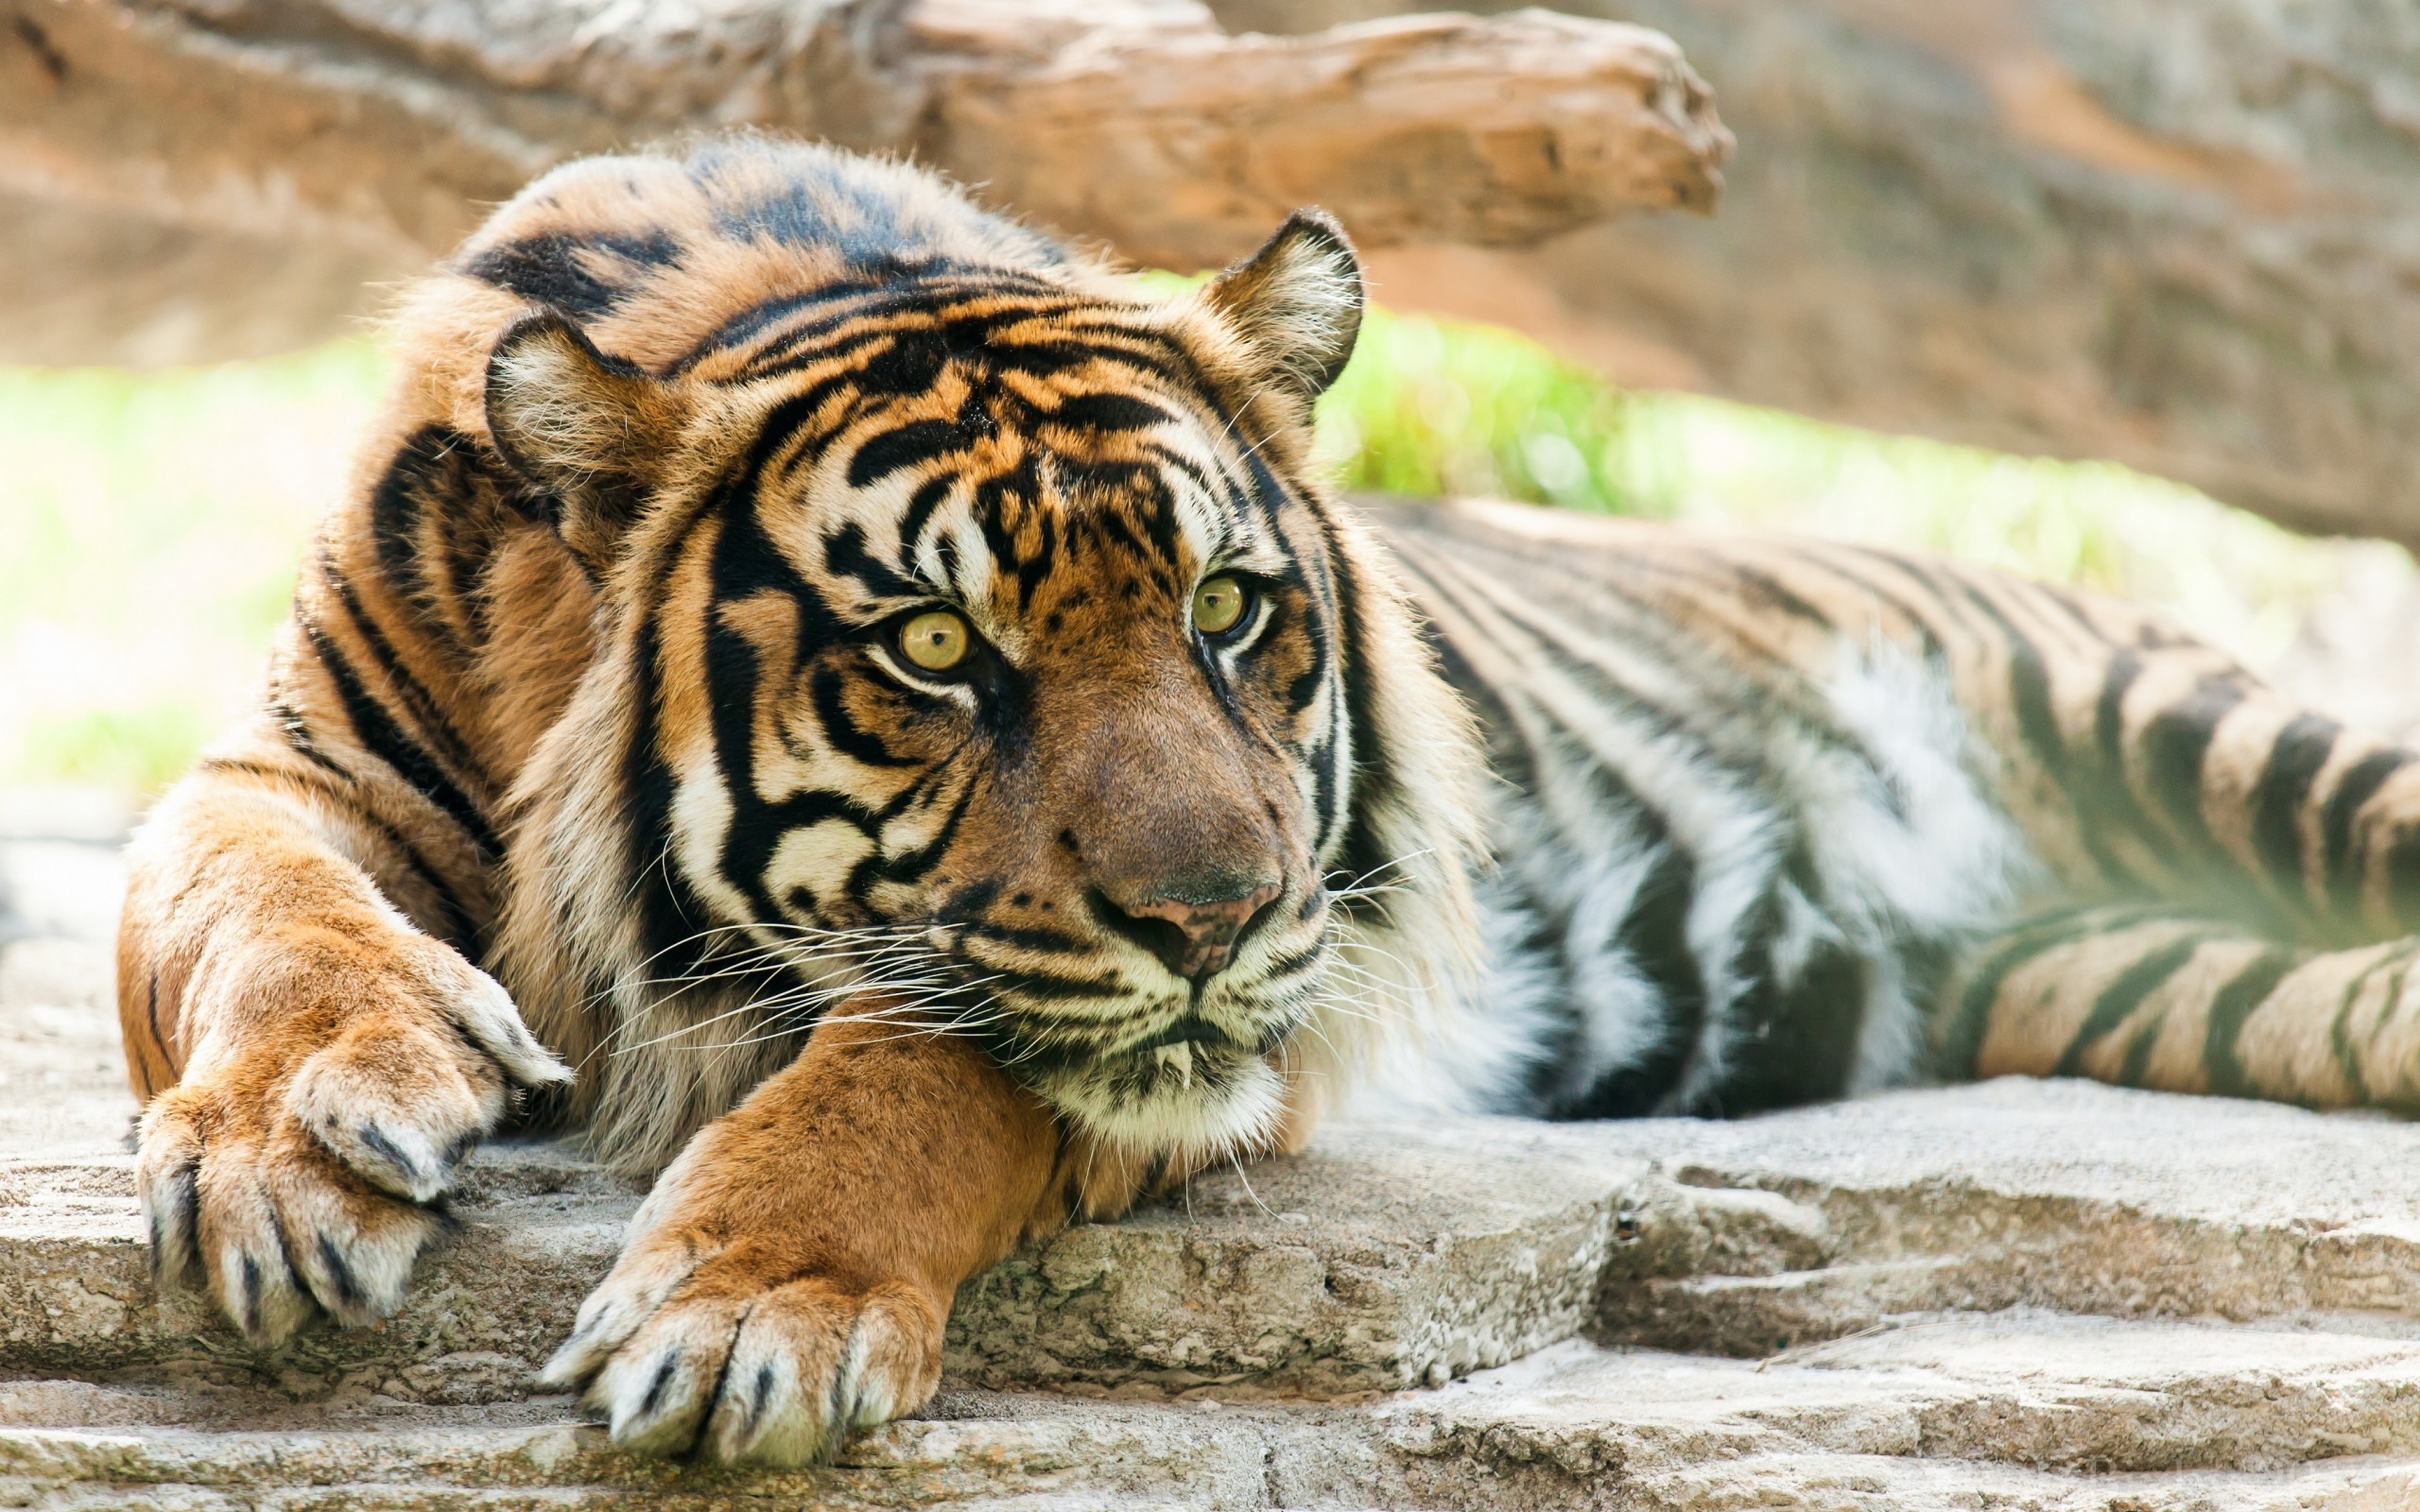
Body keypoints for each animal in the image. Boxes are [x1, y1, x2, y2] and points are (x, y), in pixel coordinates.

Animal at [117, 138, 2420, 1461]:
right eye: (935, 648)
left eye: (1231, 611)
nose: (1214, 917)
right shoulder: (293, 758)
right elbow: (232, 895)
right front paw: (293, 1142)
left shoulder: (1237, 1019)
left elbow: (929, 1064)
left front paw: (747, 1306)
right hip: (2136, 971)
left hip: (2188, 728)